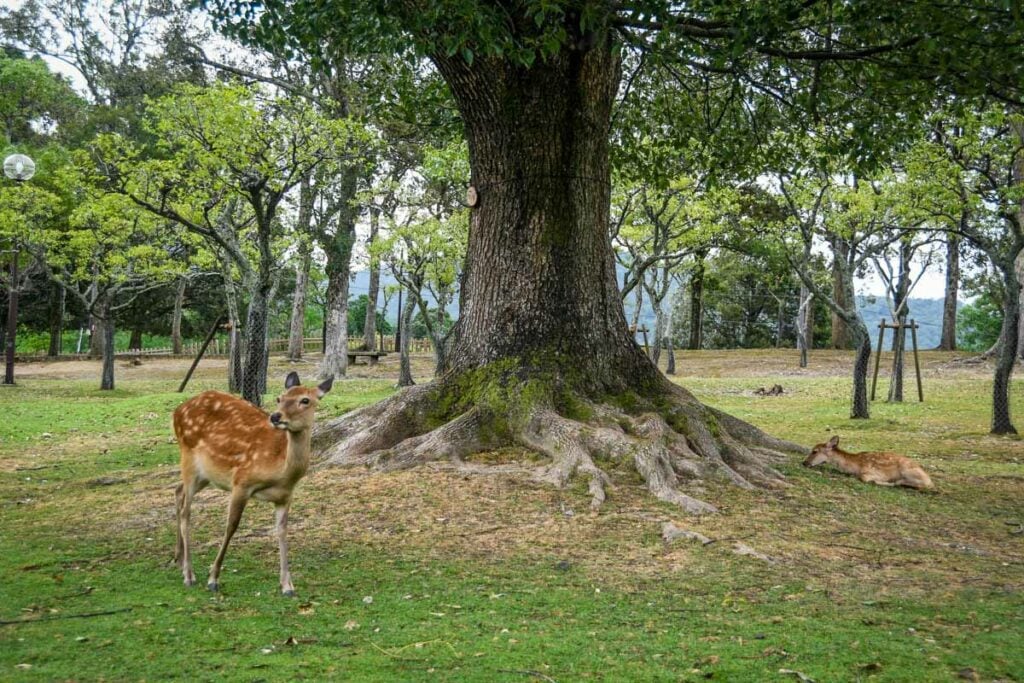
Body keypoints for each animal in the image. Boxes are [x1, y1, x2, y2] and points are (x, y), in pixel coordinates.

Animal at [174, 370, 333, 593]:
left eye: (305, 400)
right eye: (279, 398)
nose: (275, 416)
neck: (282, 472)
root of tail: (177, 411)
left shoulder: (285, 496)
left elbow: (282, 530)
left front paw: (287, 585)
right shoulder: (241, 481)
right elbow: (231, 526)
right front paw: (213, 579)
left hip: (206, 475)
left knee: (178, 491)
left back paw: (179, 560)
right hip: (188, 458)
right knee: (186, 511)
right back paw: (189, 574)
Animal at [798, 436, 937, 489]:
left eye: (815, 451)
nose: (804, 462)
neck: (855, 466)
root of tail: (928, 476)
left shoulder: (873, 471)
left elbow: (864, 478)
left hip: (908, 470)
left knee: (925, 485)